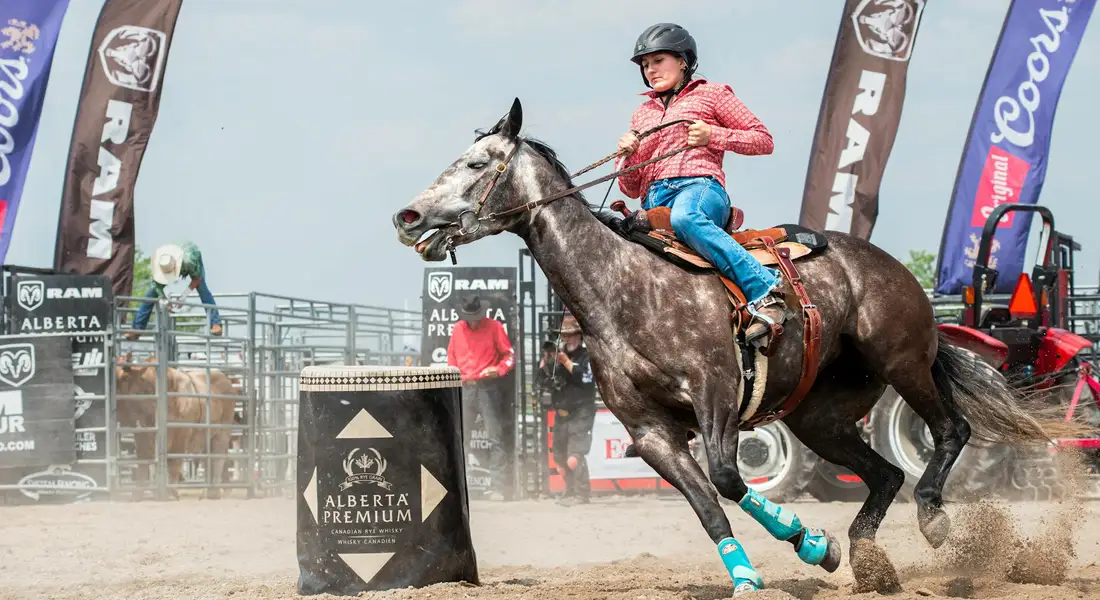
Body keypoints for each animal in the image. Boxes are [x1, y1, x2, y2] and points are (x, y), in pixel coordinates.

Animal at [115, 356, 241, 500]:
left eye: (123, 378)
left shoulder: (181, 435)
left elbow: (173, 463)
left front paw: (170, 492)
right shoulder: (142, 434)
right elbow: (144, 461)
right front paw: (138, 494)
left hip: (222, 431)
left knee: (217, 457)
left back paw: (213, 492)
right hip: (206, 436)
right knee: (211, 458)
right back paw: (217, 490)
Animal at [391, 98, 1088, 594]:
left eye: (477, 163)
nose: (408, 216)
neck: (624, 289)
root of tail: (888, 267)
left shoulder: (717, 394)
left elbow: (729, 477)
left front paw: (808, 542)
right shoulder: (650, 432)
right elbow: (708, 505)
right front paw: (760, 571)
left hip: (903, 362)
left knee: (949, 432)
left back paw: (934, 519)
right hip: (820, 415)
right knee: (885, 472)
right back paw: (867, 561)